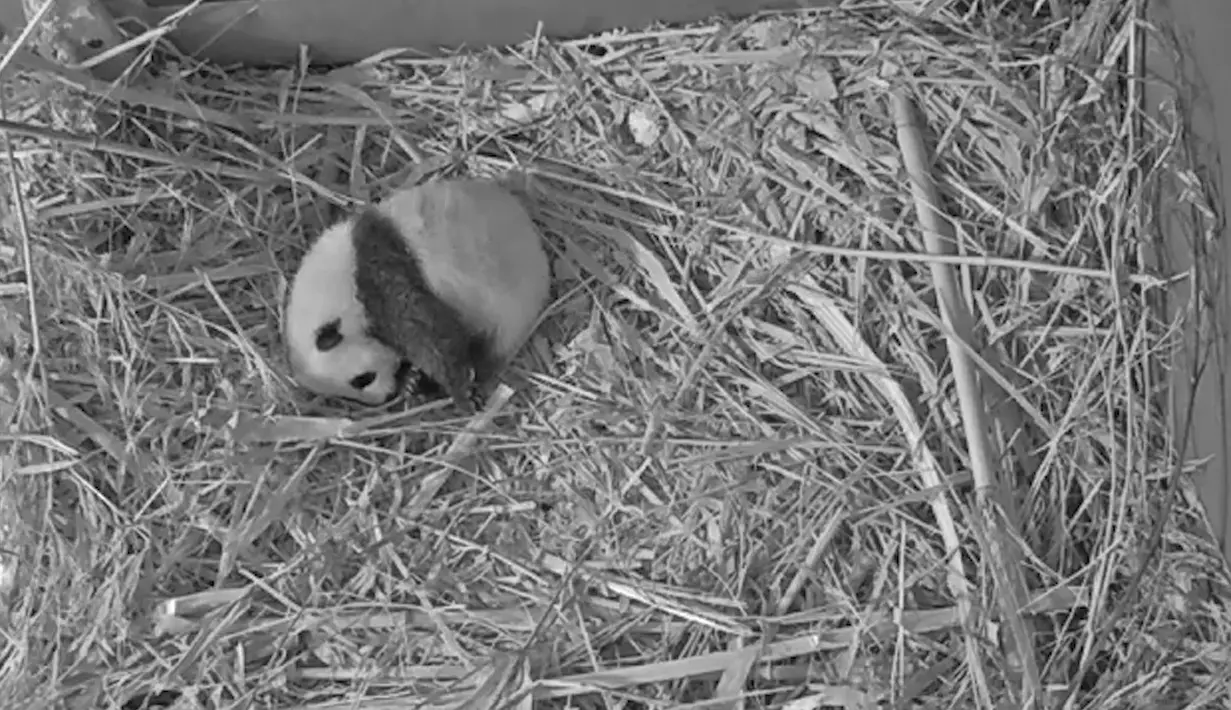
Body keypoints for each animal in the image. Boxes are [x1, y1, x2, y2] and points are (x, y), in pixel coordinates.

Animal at [282, 177, 553, 411]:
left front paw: (459, 392)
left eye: (362, 379)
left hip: (505, 304)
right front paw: (413, 382)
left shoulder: (383, 279)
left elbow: (430, 335)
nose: (387, 395)